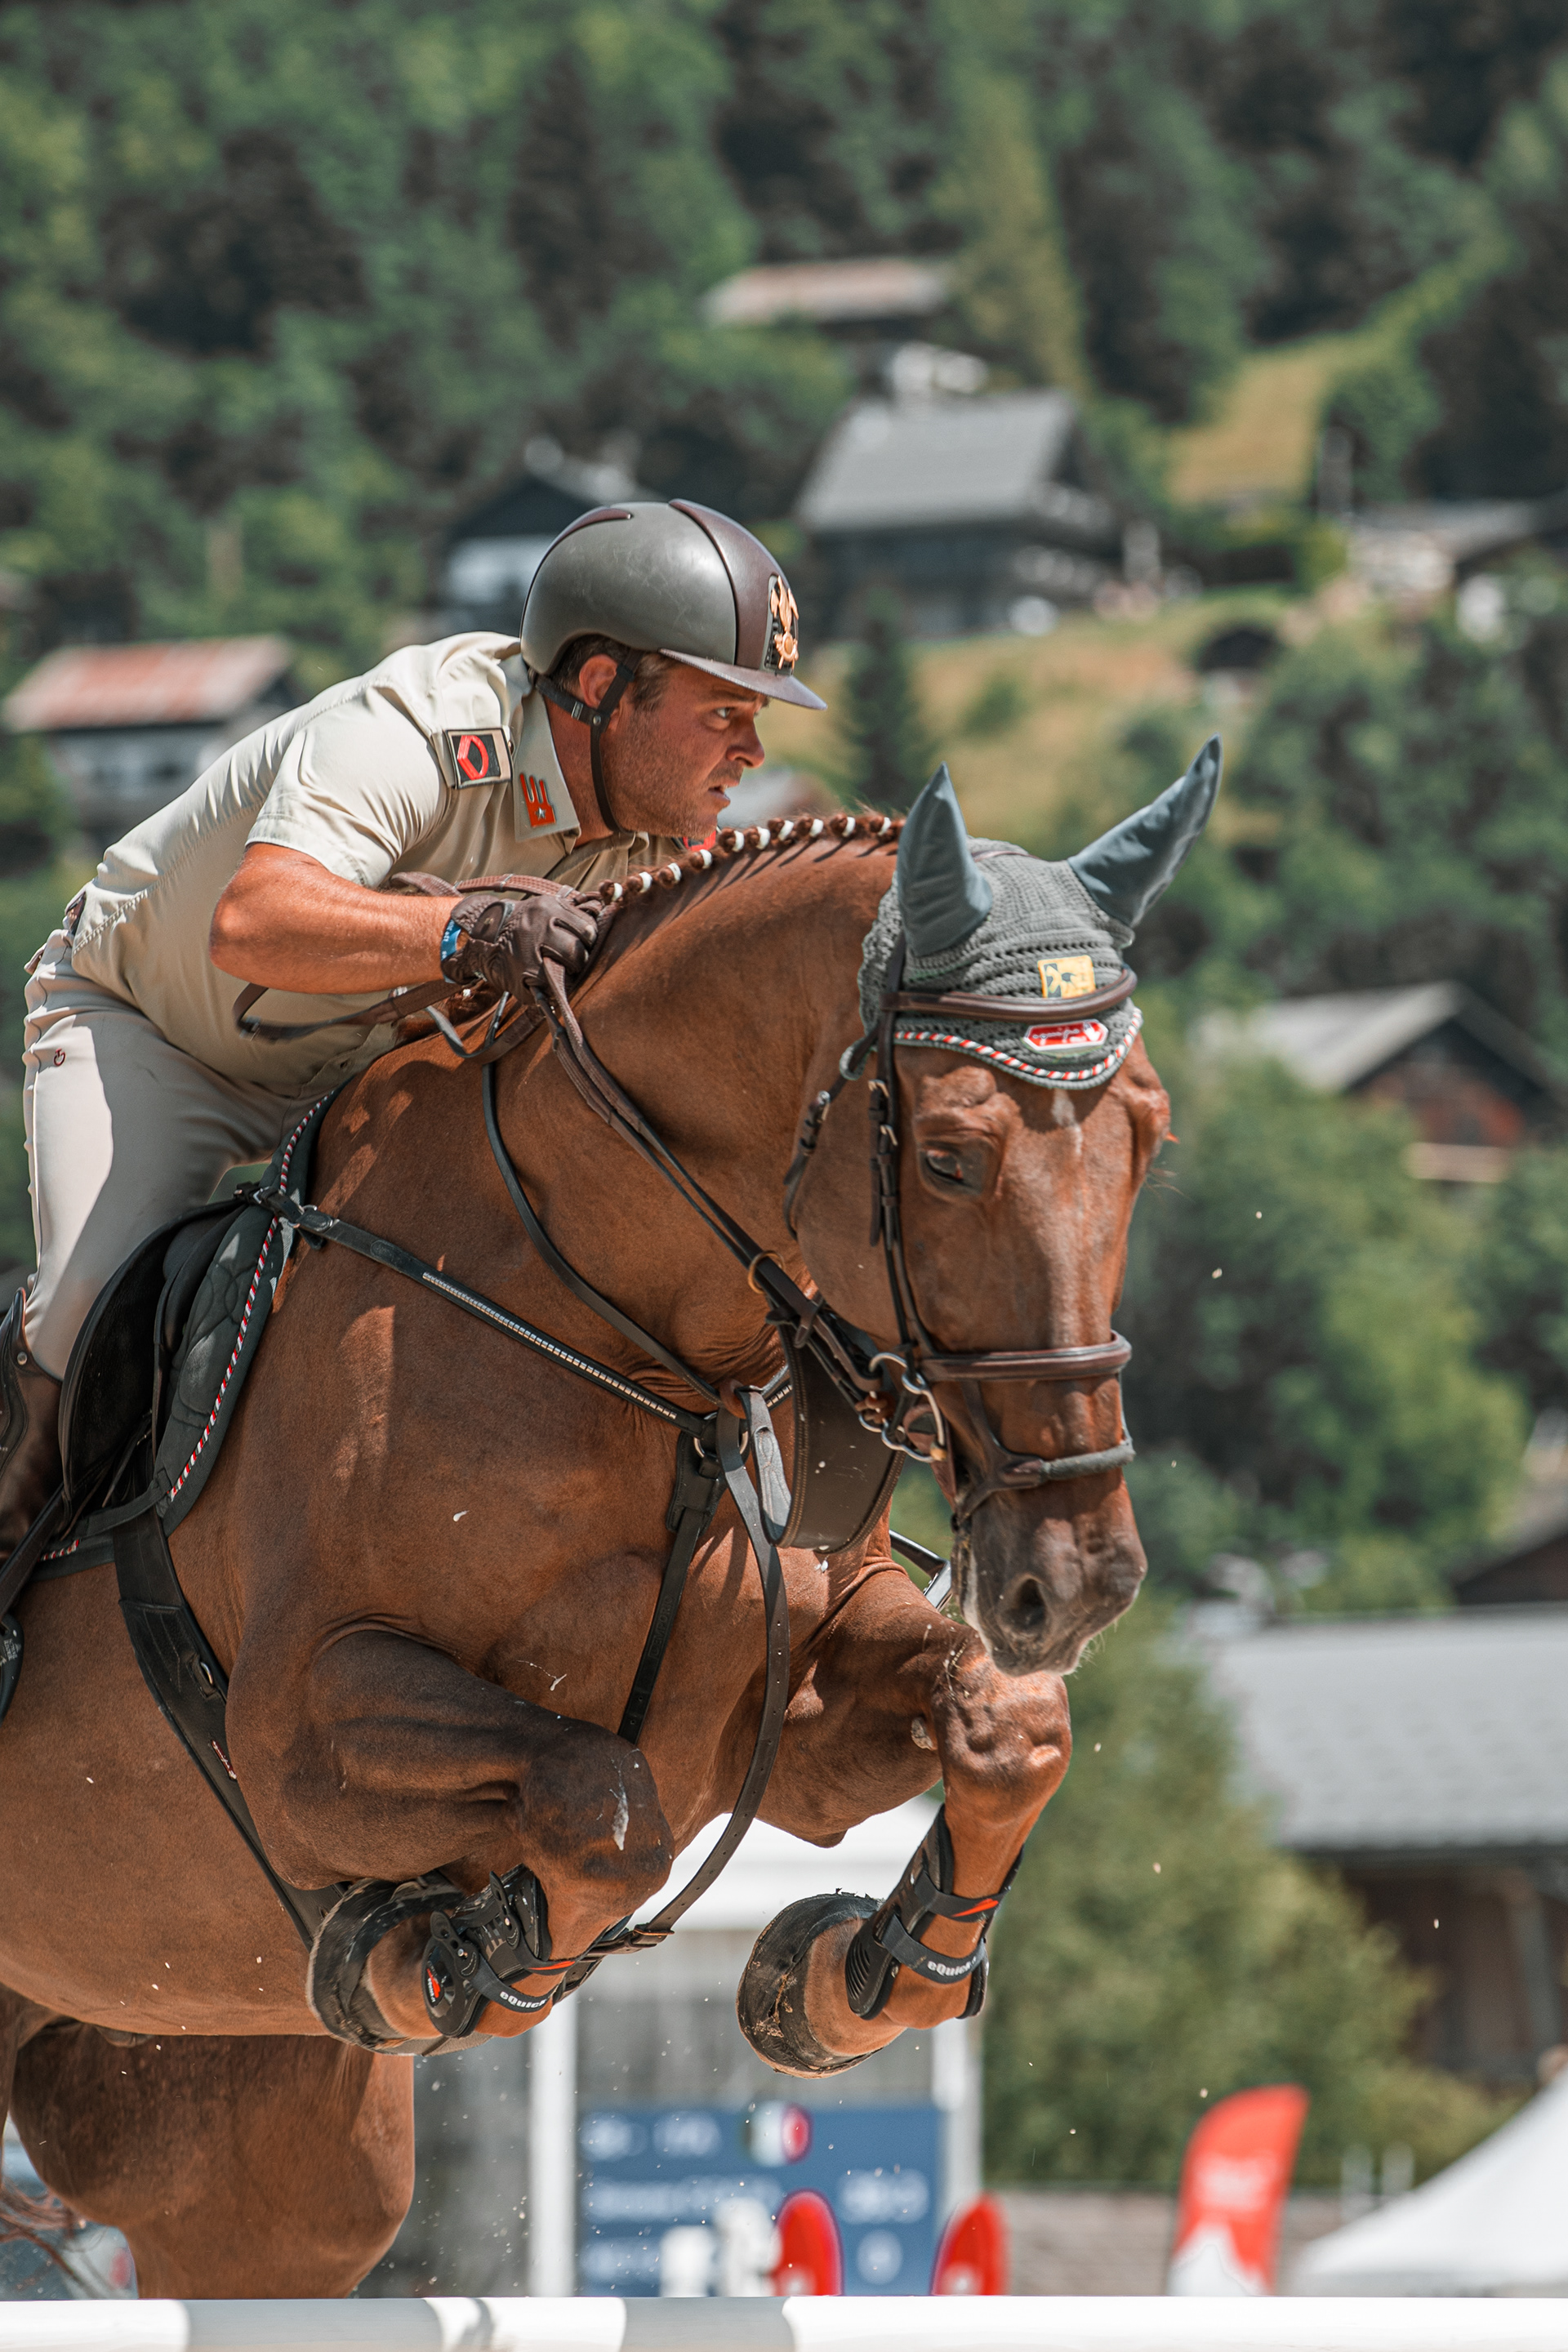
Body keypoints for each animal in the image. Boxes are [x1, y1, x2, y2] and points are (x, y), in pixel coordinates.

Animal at [0, 759, 1207, 2296]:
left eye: (1147, 1139)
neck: (622, 1333)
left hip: (229, 2148)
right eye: (946, 1159)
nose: (1080, 1576)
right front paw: (440, 1955)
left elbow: (1008, 1730)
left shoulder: (792, 1709)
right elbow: (601, 1808)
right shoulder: (296, 1724)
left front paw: (842, 1975)